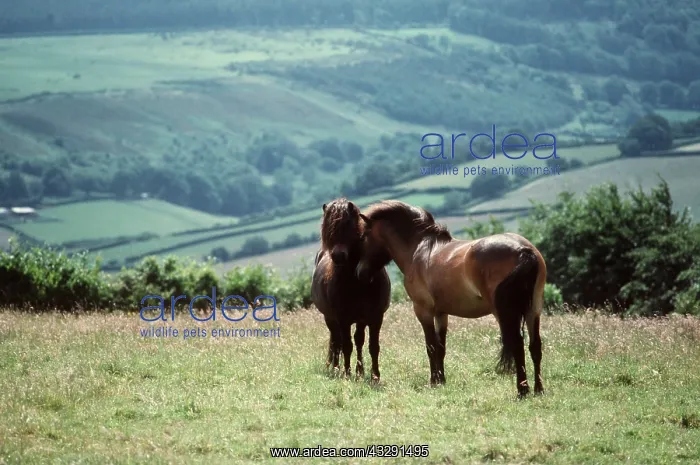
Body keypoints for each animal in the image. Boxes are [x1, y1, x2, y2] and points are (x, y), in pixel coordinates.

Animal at [311, 198, 392, 382]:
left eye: (348, 224)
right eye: (328, 227)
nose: (338, 256)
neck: (358, 281)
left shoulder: (376, 317)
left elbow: (373, 346)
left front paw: (375, 376)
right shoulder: (343, 318)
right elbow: (346, 346)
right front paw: (347, 374)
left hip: (360, 320)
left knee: (358, 340)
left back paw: (359, 371)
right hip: (330, 318)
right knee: (337, 341)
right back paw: (336, 369)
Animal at [354, 200, 546, 398]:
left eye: (364, 236)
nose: (360, 273)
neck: (418, 249)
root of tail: (524, 250)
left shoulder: (423, 310)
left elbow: (431, 346)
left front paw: (433, 381)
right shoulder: (441, 313)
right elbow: (441, 347)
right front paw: (441, 380)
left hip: (504, 313)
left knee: (517, 344)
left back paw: (522, 390)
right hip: (534, 310)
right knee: (535, 346)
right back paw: (538, 390)